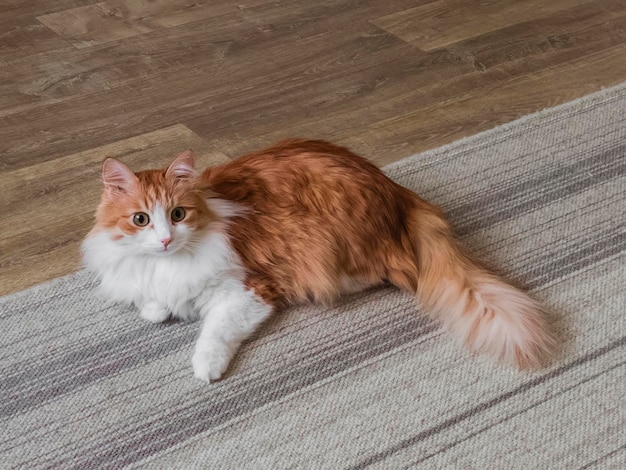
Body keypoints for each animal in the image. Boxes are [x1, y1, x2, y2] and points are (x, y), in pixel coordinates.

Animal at [81, 138, 552, 380]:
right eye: (141, 219)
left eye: (178, 215)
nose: (164, 240)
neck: (166, 264)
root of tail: (397, 192)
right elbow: (152, 307)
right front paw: (159, 308)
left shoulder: (249, 291)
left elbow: (214, 334)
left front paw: (205, 368)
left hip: (326, 248)